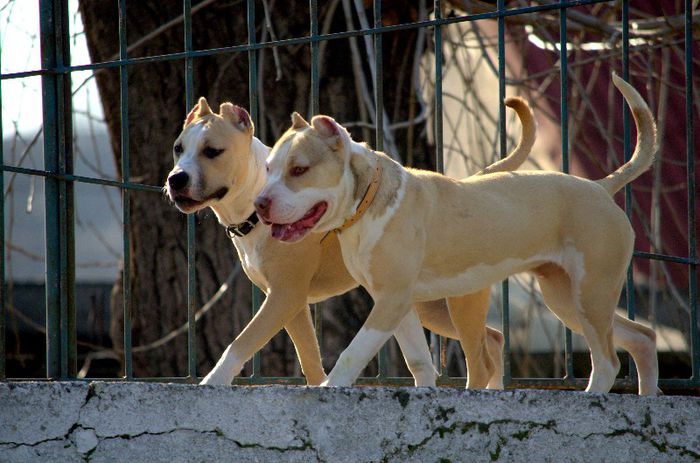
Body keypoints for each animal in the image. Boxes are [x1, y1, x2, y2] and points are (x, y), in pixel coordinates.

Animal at [165, 96, 536, 386]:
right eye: (178, 148)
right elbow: (309, 360)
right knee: (494, 339)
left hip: (457, 298)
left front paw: (212, 381)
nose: (176, 178)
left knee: (482, 355)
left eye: (213, 151)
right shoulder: (291, 305)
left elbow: (242, 341)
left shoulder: (284, 295)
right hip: (426, 304)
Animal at [256, 74, 656, 396]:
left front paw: (330, 387)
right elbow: (418, 359)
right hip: (567, 298)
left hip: (591, 292)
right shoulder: (397, 303)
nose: (259, 203)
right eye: (268, 168)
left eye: (299, 169)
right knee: (642, 337)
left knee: (607, 360)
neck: (366, 201)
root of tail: (600, 187)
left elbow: (353, 352)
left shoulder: (391, 299)